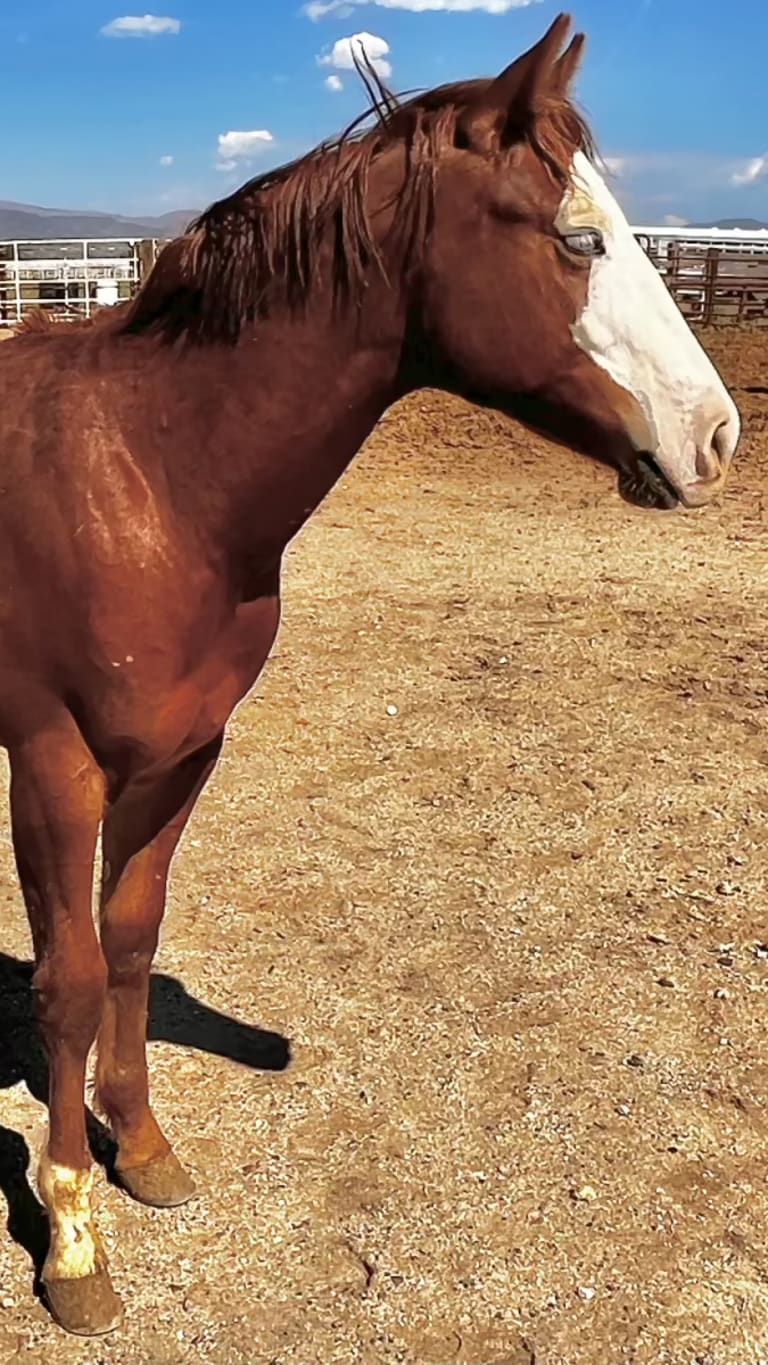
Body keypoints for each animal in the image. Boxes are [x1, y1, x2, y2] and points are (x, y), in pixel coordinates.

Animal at [0, 12, 740, 1335]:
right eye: (578, 237)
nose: (717, 439)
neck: (150, 477)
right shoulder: (53, 764)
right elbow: (71, 982)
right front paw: (74, 1241)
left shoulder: (183, 754)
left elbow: (129, 938)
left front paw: (142, 1149)